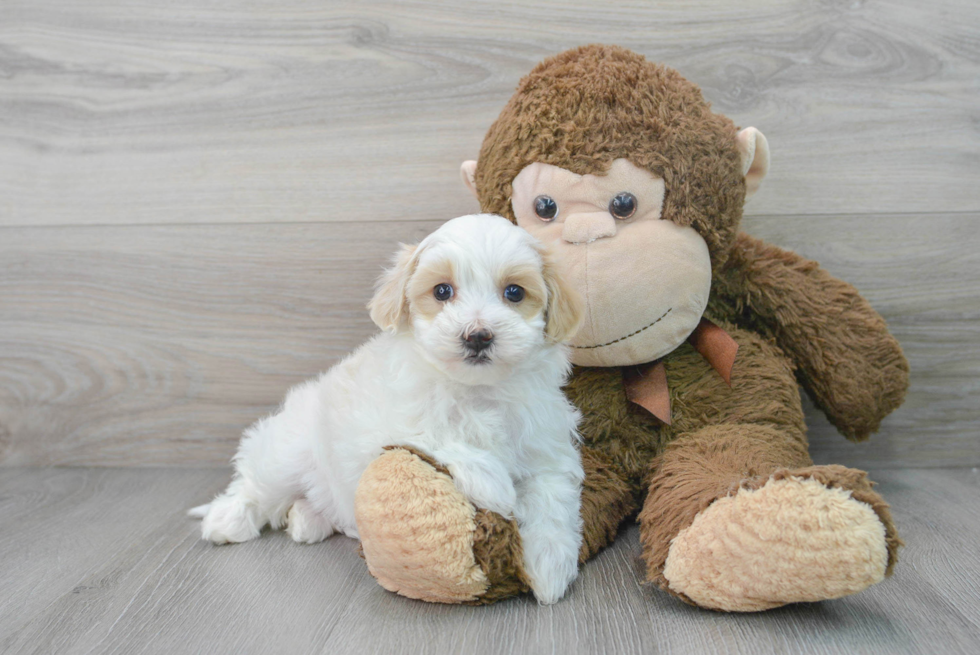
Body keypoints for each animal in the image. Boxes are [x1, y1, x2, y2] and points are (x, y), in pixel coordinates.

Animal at [192, 214, 588, 604]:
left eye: (514, 293)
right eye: (442, 291)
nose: (477, 335)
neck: (478, 391)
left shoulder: (547, 450)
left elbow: (552, 500)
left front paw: (550, 567)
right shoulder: (378, 427)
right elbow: (434, 436)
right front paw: (495, 486)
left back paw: (306, 519)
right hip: (288, 451)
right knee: (255, 485)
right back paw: (225, 521)